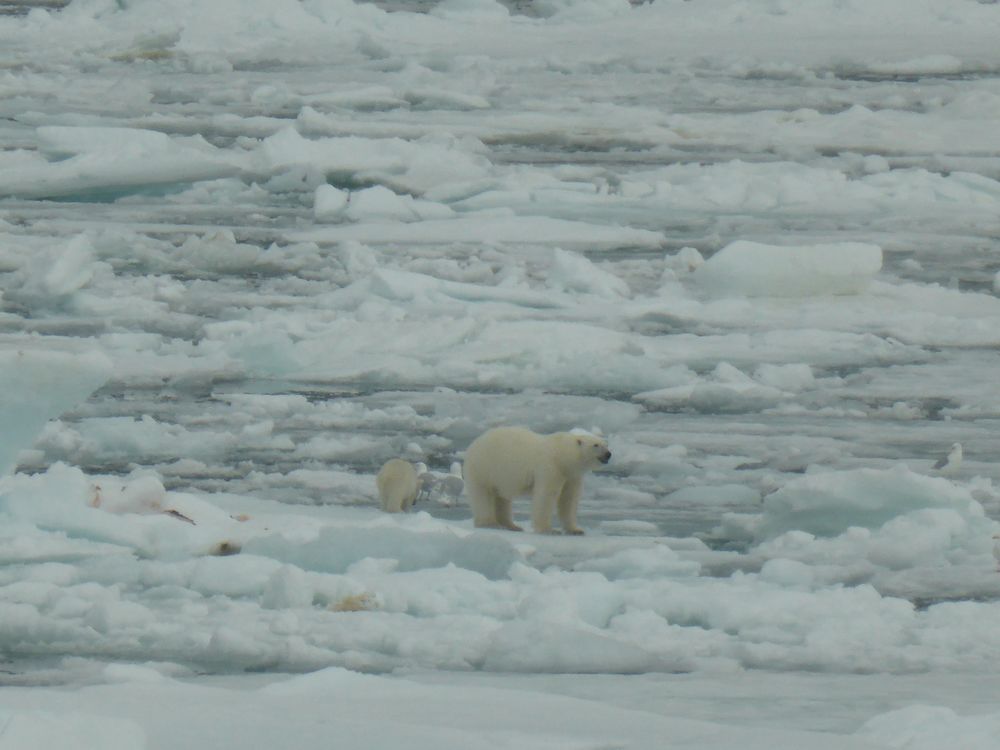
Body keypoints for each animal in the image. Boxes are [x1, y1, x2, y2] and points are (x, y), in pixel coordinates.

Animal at [460, 428, 608, 536]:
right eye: (596, 445)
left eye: (606, 444)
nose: (608, 454)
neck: (561, 454)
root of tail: (472, 445)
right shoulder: (550, 468)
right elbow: (546, 496)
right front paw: (549, 530)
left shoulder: (571, 475)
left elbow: (569, 500)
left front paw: (576, 530)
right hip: (483, 469)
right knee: (483, 496)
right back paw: (490, 523)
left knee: (502, 498)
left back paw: (512, 526)